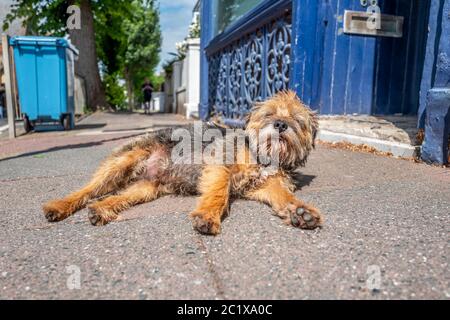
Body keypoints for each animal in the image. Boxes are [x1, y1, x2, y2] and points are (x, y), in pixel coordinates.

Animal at [43, 90, 324, 235]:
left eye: (297, 119)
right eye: (268, 114)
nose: (280, 124)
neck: (263, 157)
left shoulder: (264, 185)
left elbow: (282, 195)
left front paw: (300, 211)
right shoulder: (220, 166)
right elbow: (218, 193)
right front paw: (208, 216)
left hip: (145, 189)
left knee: (116, 197)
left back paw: (101, 209)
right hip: (122, 162)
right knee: (87, 190)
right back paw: (59, 206)